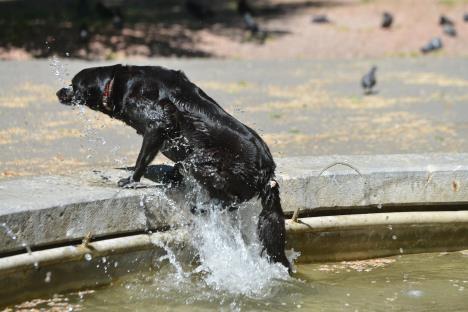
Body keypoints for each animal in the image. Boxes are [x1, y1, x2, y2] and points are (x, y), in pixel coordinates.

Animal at [56, 65, 290, 272]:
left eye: (73, 85)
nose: (58, 92)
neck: (117, 84)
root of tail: (268, 172)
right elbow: (175, 165)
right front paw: (172, 177)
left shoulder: (157, 125)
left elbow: (143, 159)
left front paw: (131, 180)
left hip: (202, 162)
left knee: (230, 200)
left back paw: (201, 208)